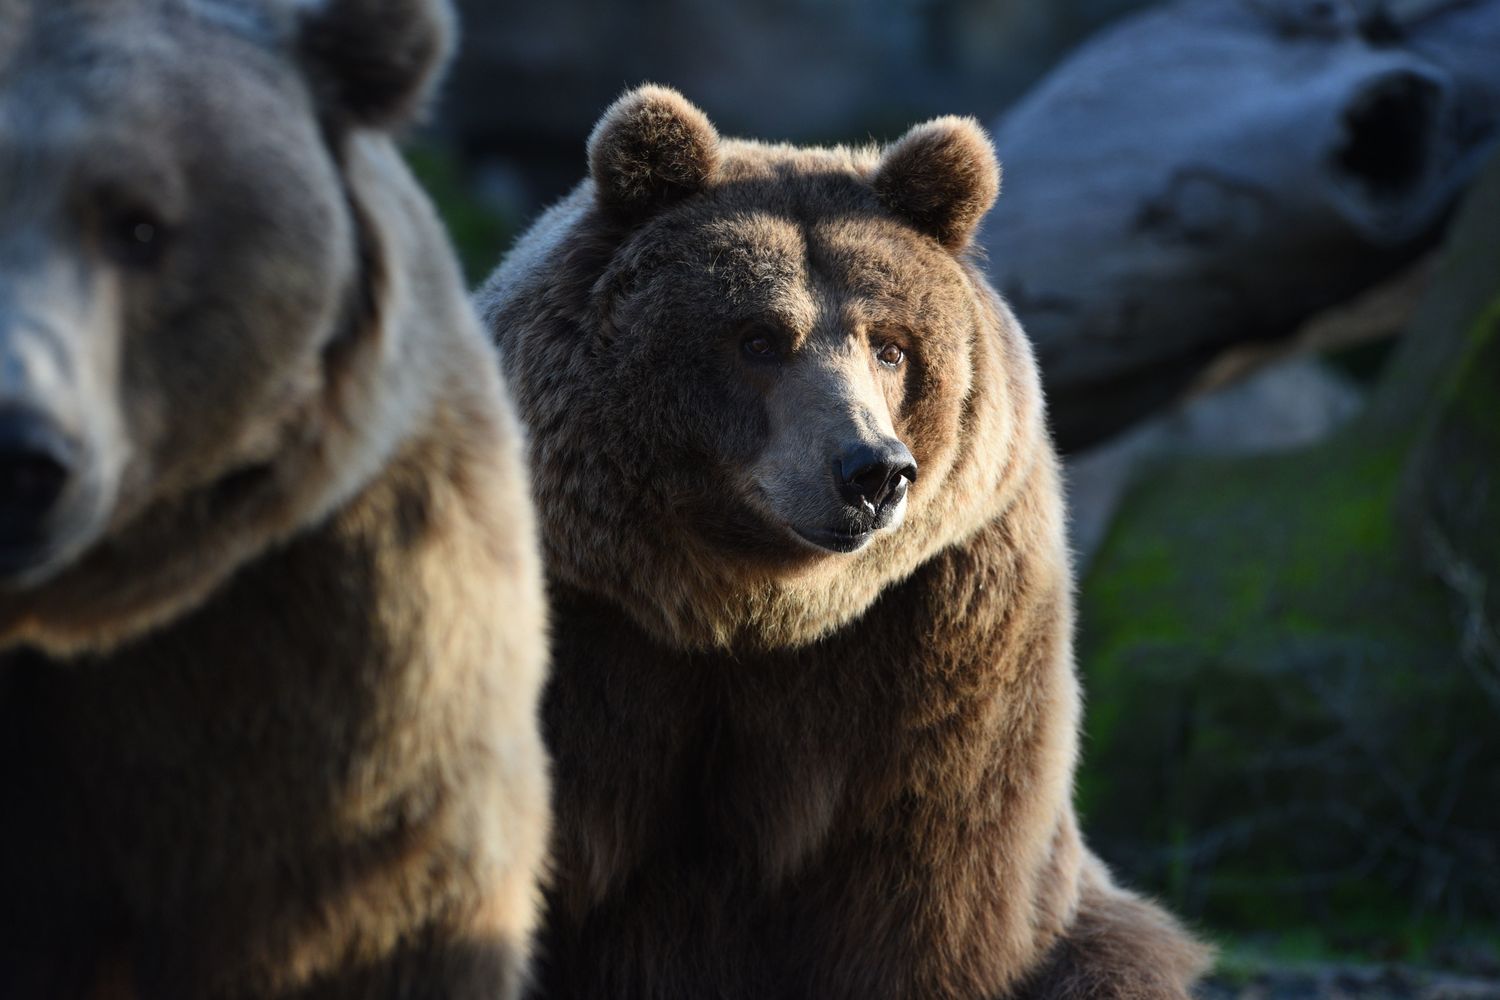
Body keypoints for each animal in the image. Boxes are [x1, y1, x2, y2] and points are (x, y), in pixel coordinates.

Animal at [478, 85, 1212, 999]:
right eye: (758, 337)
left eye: (891, 345)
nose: (873, 470)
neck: (739, 607)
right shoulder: (582, 628)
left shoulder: (944, 630)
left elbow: (926, 875)